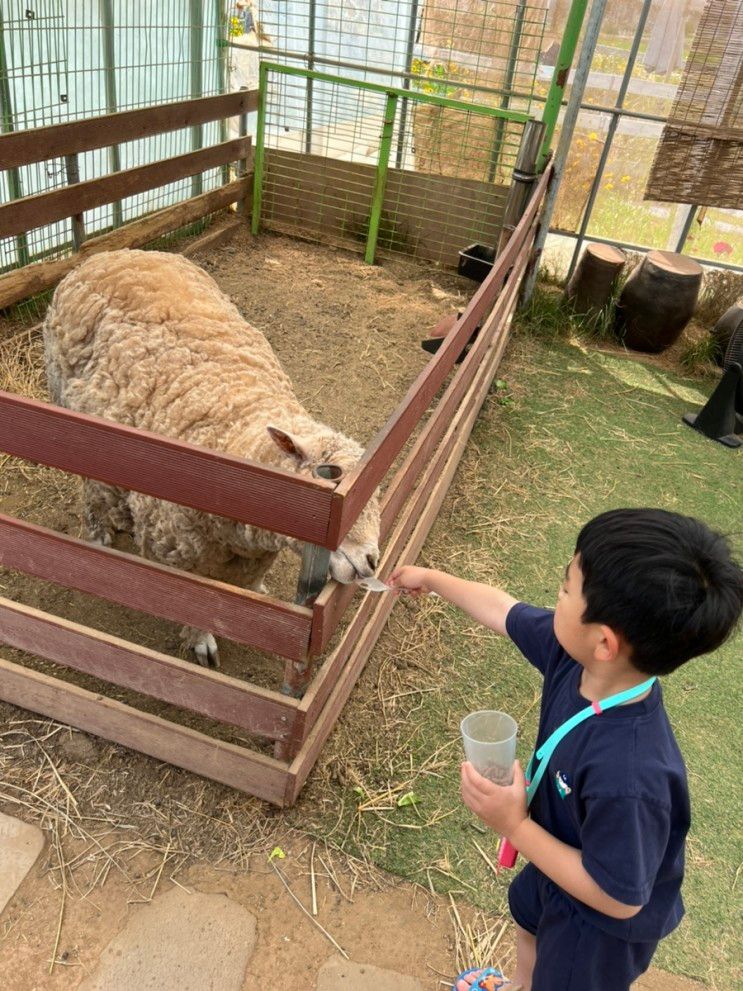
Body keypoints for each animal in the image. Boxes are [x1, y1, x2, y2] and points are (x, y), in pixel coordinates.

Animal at [43, 248, 380, 672]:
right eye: (328, 474)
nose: (371, 561)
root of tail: (107, 253)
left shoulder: (253, 554)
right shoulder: (181, 557)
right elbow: (196, 608)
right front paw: (202, 642)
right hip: (70, 412)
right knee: (88, 483)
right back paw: (98, 534)